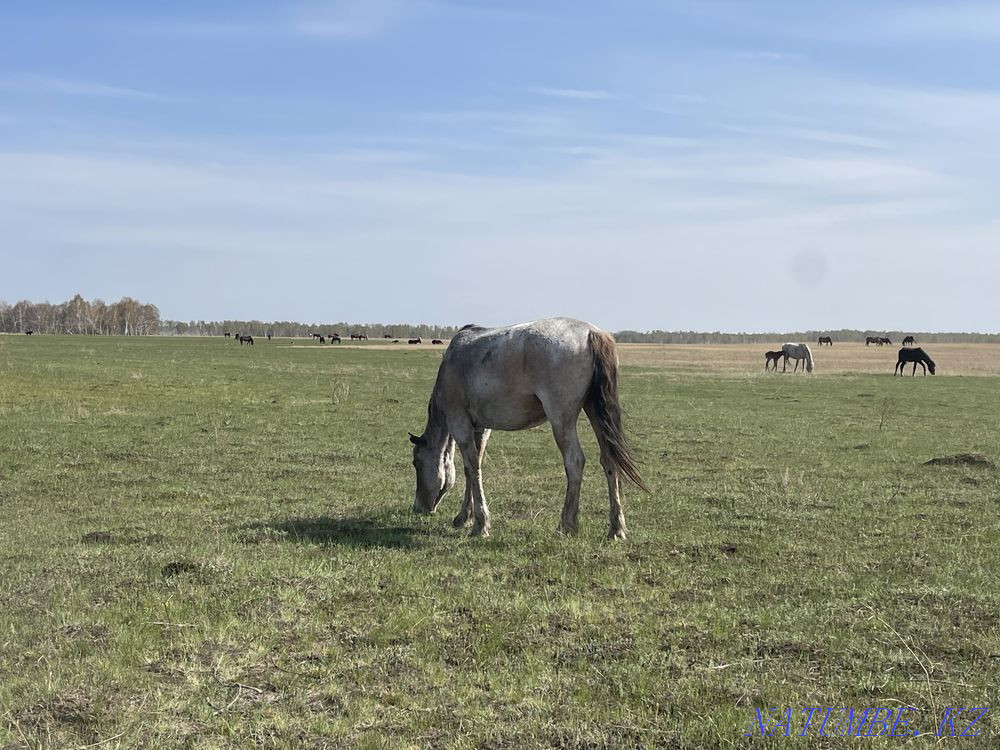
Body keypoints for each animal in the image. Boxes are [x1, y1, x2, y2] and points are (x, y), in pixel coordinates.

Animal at [409, 318, 648, 539]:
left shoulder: (460, 424)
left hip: (561, 419)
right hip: (595, 411)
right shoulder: (480, 429)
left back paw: (566, 525)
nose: (418, 508)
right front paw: (464, 517)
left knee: (575, 462)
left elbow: (473, 467)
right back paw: (616, 528)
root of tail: (591, 333)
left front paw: (480, 524)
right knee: (609, 461)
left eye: (416, 463)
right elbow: (472, 470)